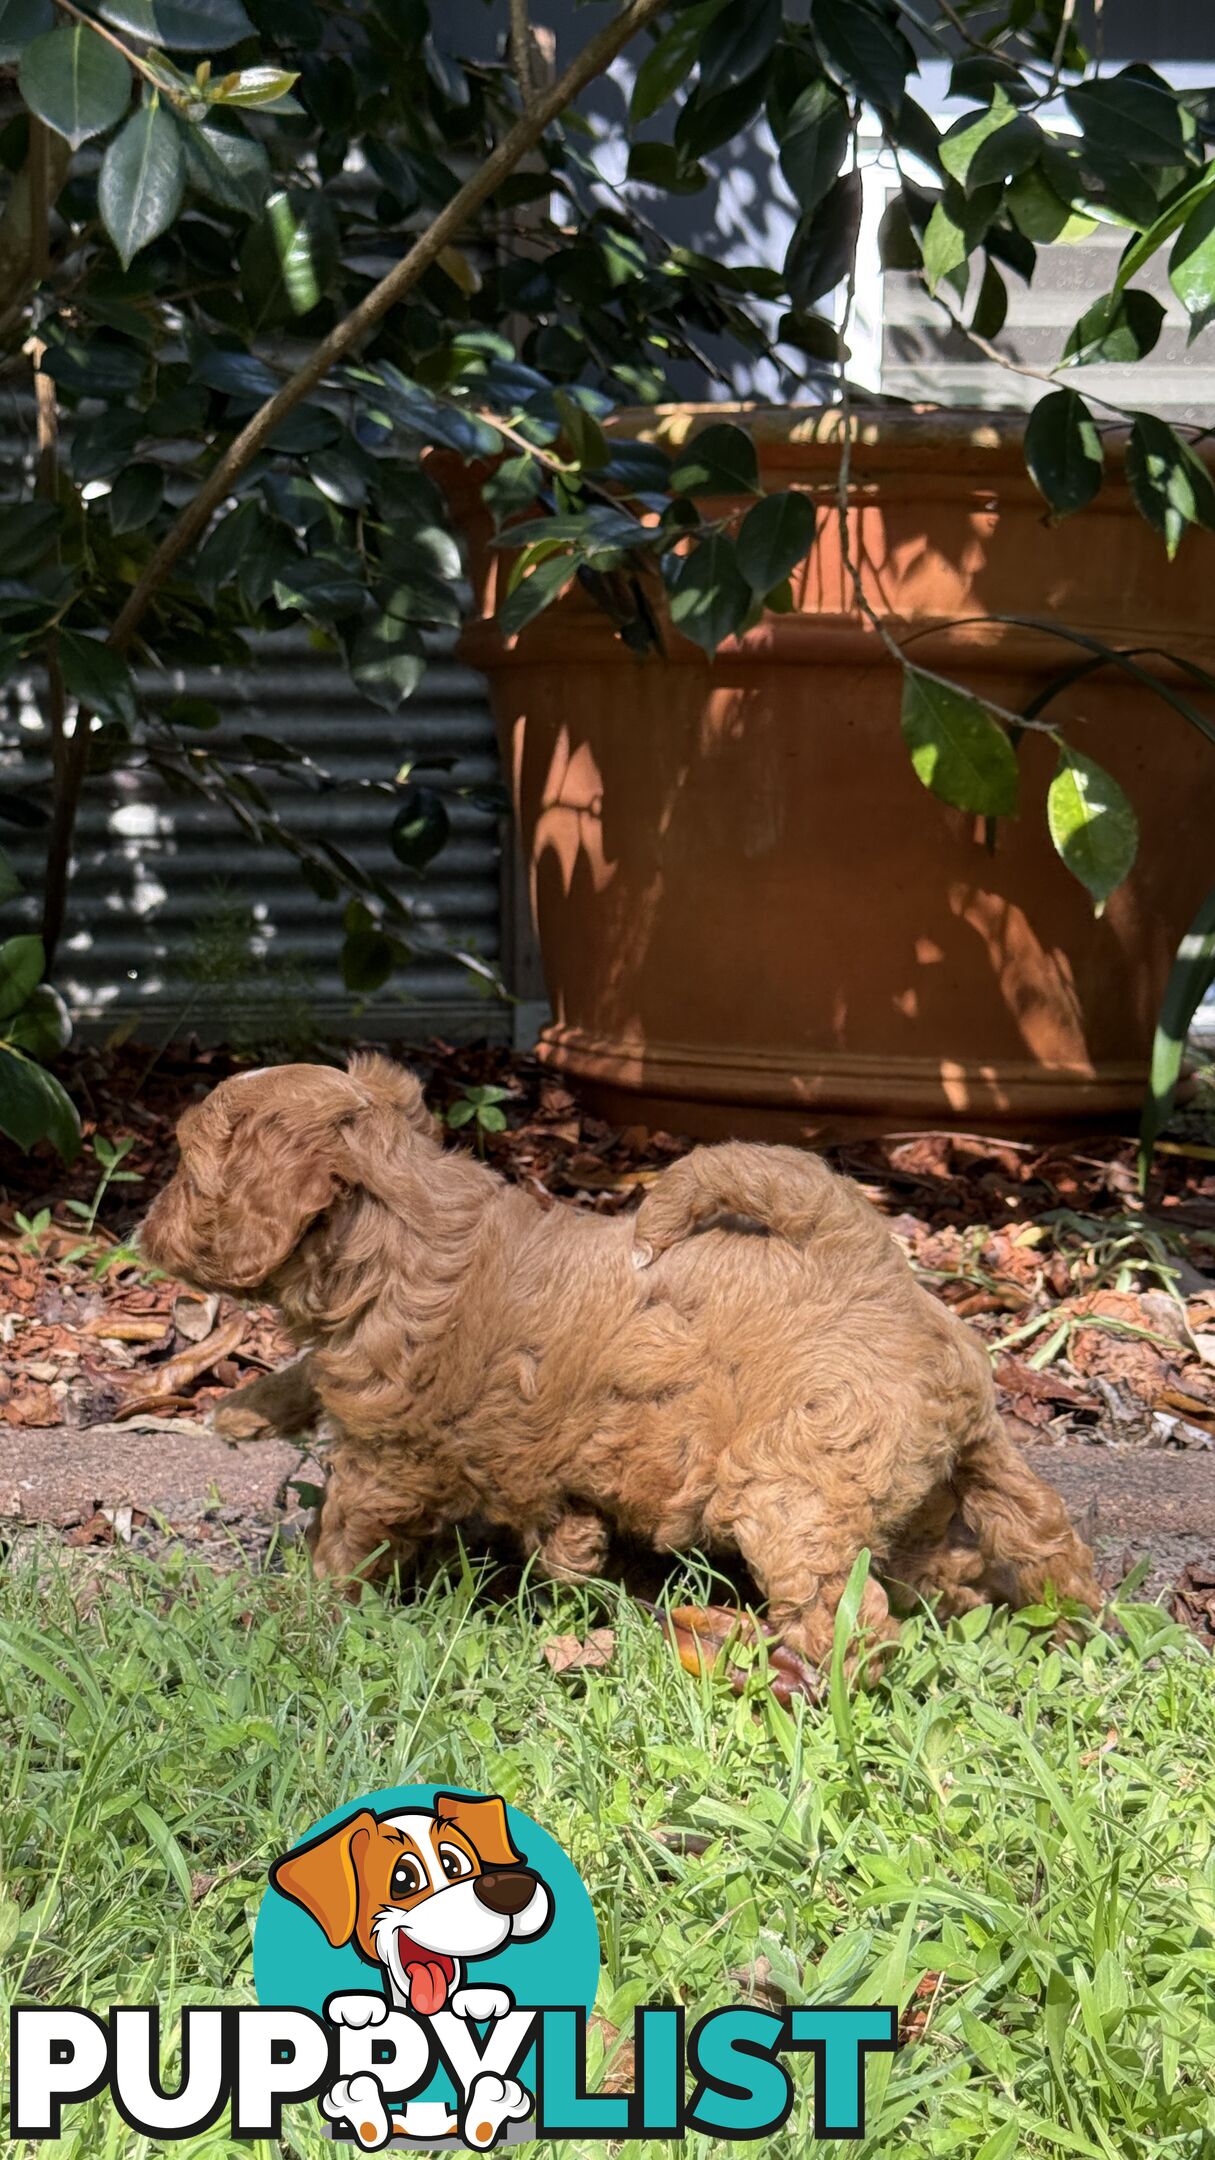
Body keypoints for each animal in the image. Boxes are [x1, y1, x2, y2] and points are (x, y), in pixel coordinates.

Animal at [141, 1062, 1098, 1667]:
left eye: (186, 1167)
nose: (142, 1229)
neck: (400, 1231)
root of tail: (862, 1260)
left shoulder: (394, 1454)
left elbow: (348, 1528)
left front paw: (304, 1608)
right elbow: (311, 1376)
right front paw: (243, 1410)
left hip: (794, 1487)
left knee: (848, 1620)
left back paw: (761, 1657)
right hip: (964, 1459)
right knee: (1027, 1536)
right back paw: (1059, 1618)